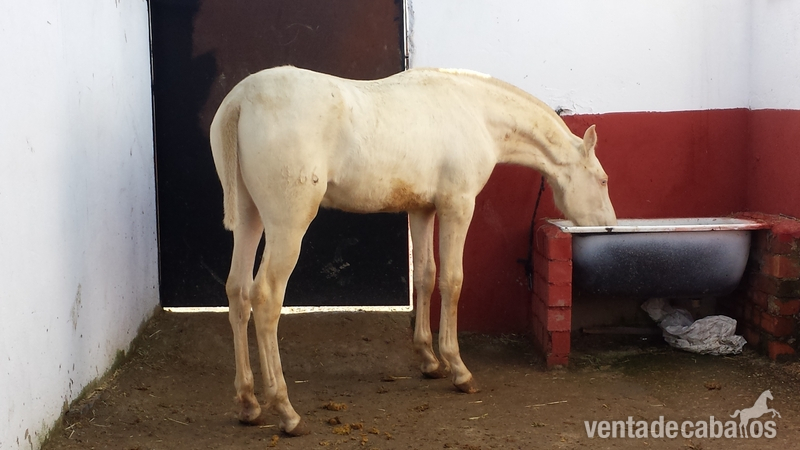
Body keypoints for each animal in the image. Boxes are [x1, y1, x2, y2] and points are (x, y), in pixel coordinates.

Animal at [209, 66, 617, 435]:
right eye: (602, 180)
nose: (609, 224)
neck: (475, 110)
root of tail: (241, 100)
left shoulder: (422, 210)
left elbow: (426, 276)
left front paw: (429, 360)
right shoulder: (457, 206)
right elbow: (452, 280)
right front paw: (458, 368)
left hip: (249, 218)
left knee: (238, 292)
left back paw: (248, 404)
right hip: (287, 225)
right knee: (265, 299)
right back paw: (286, 412)